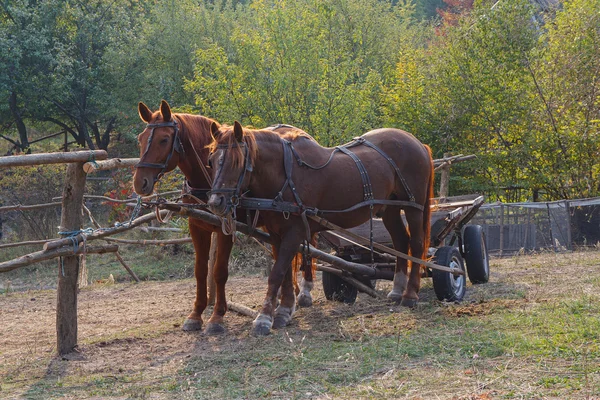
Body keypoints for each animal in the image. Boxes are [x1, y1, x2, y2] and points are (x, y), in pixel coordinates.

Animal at [133, 100, 316, 334]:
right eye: (141, 138)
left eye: (164, 139)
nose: (140, 183)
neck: (209, 181)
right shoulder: (197, 227)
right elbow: (201, 270)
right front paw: (196, 314)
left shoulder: (226, 229)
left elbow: (219, 271)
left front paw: (217, 317)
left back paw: (305, 291)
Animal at [209, 121, 434, 334]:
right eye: (211, 160)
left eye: (237, 162)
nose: (215, 202)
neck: (286, 176)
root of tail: (417, 143)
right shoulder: (276, 234)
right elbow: (285, 274)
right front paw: (283, 311)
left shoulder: (295, 232)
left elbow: (277, 273)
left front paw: (263, 319)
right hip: (390, 208)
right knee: (400, 241)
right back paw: (397, 290)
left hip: (413, 207)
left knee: (416, 244)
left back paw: (410, 295)